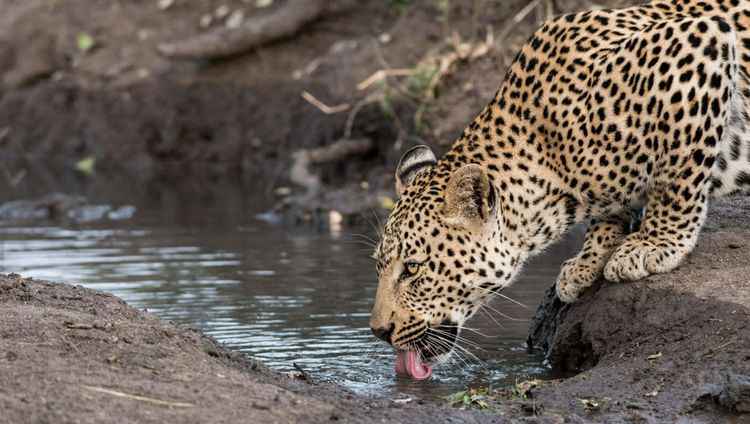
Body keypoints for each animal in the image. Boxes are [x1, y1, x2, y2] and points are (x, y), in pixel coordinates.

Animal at [368, 0, 750, 378]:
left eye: (413, 269)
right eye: (379, 266)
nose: (379, 332)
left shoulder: (700, 44)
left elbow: (677, 174)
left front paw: (654, 244)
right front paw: (589, 259)